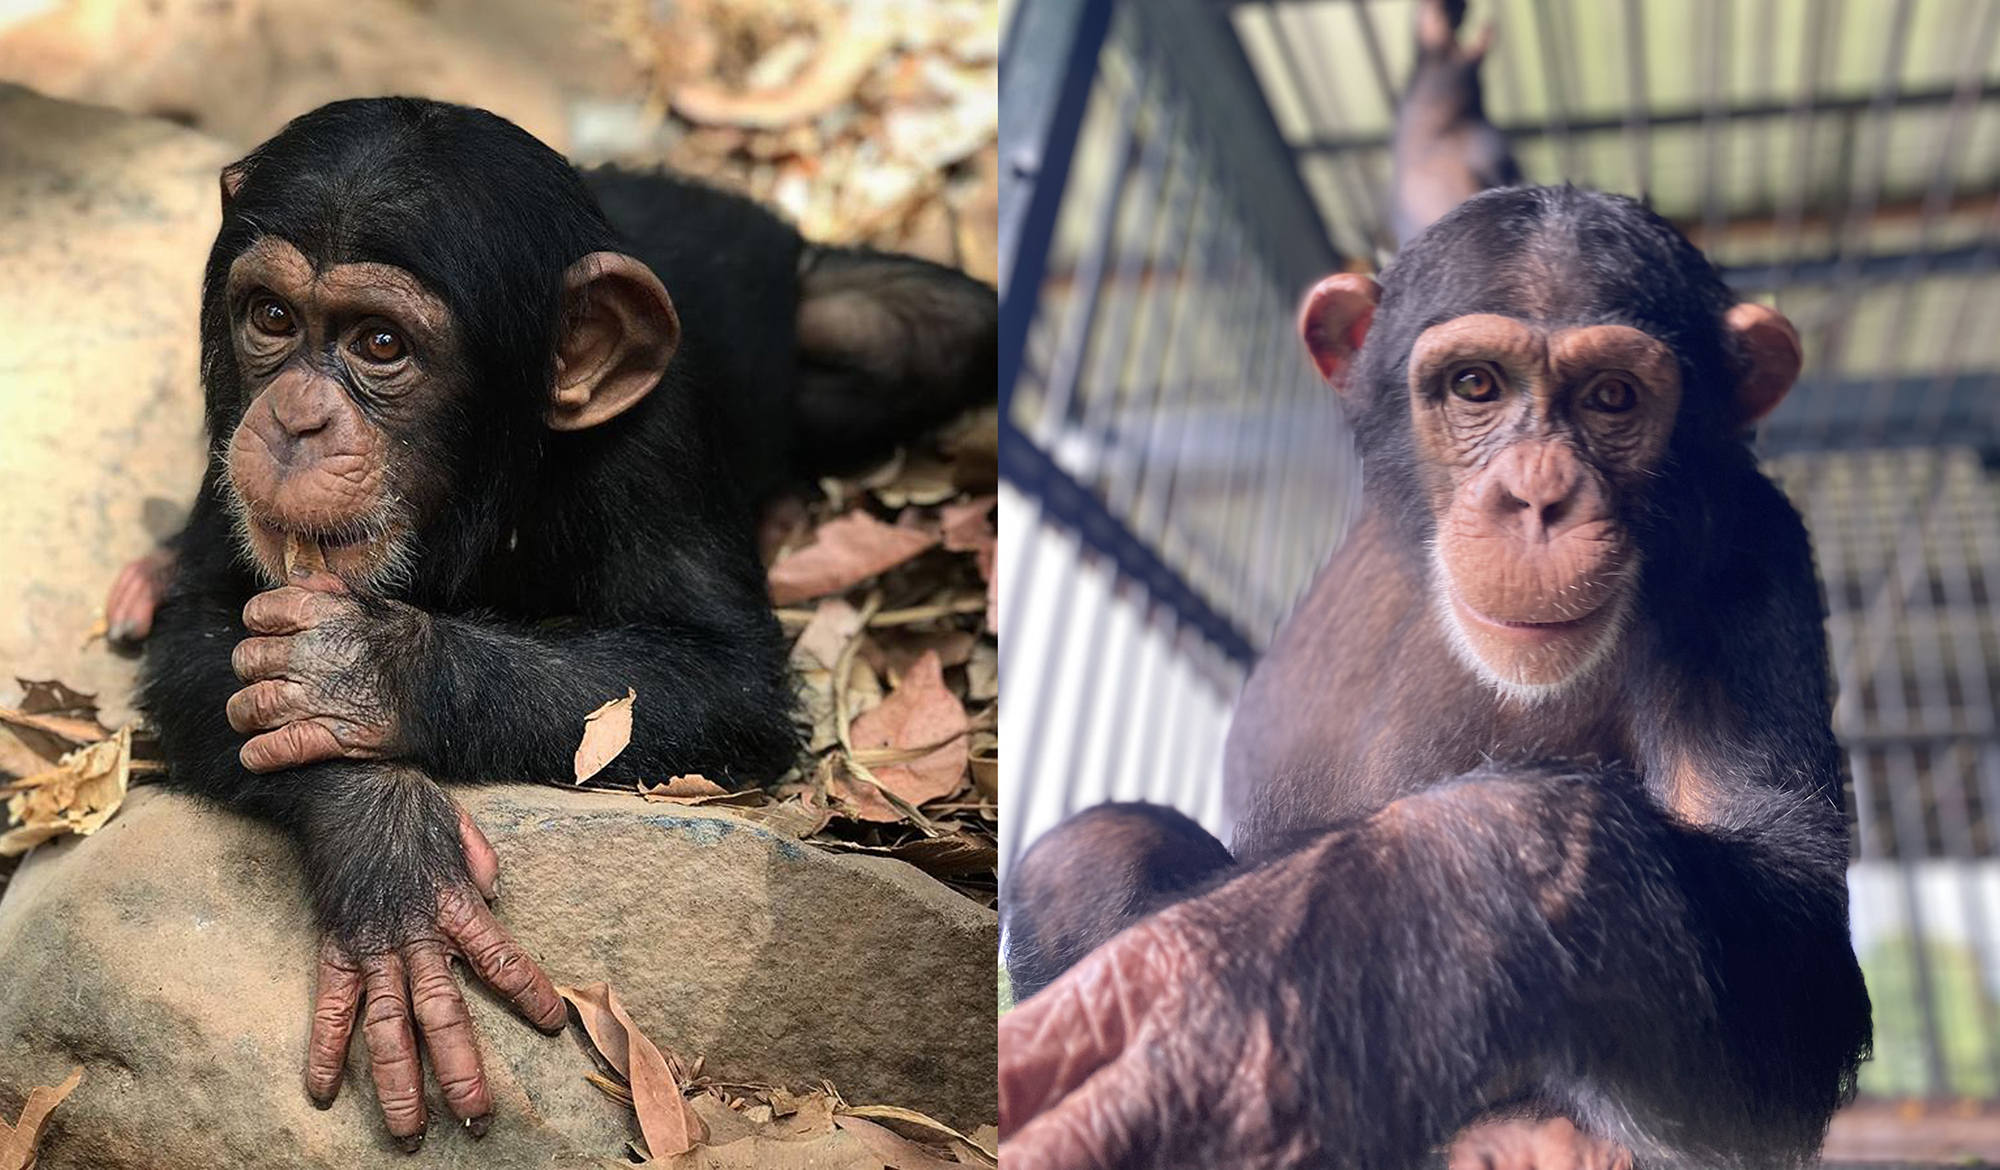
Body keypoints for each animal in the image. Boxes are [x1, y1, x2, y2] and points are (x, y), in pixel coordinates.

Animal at [121, 98, 996, 1152]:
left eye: (380, 345)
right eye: (273, 320)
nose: (294, 420)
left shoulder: (654, 441)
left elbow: (722, 673)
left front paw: (357, 672)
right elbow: (199, 632)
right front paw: (384, 847)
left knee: (933, 325)